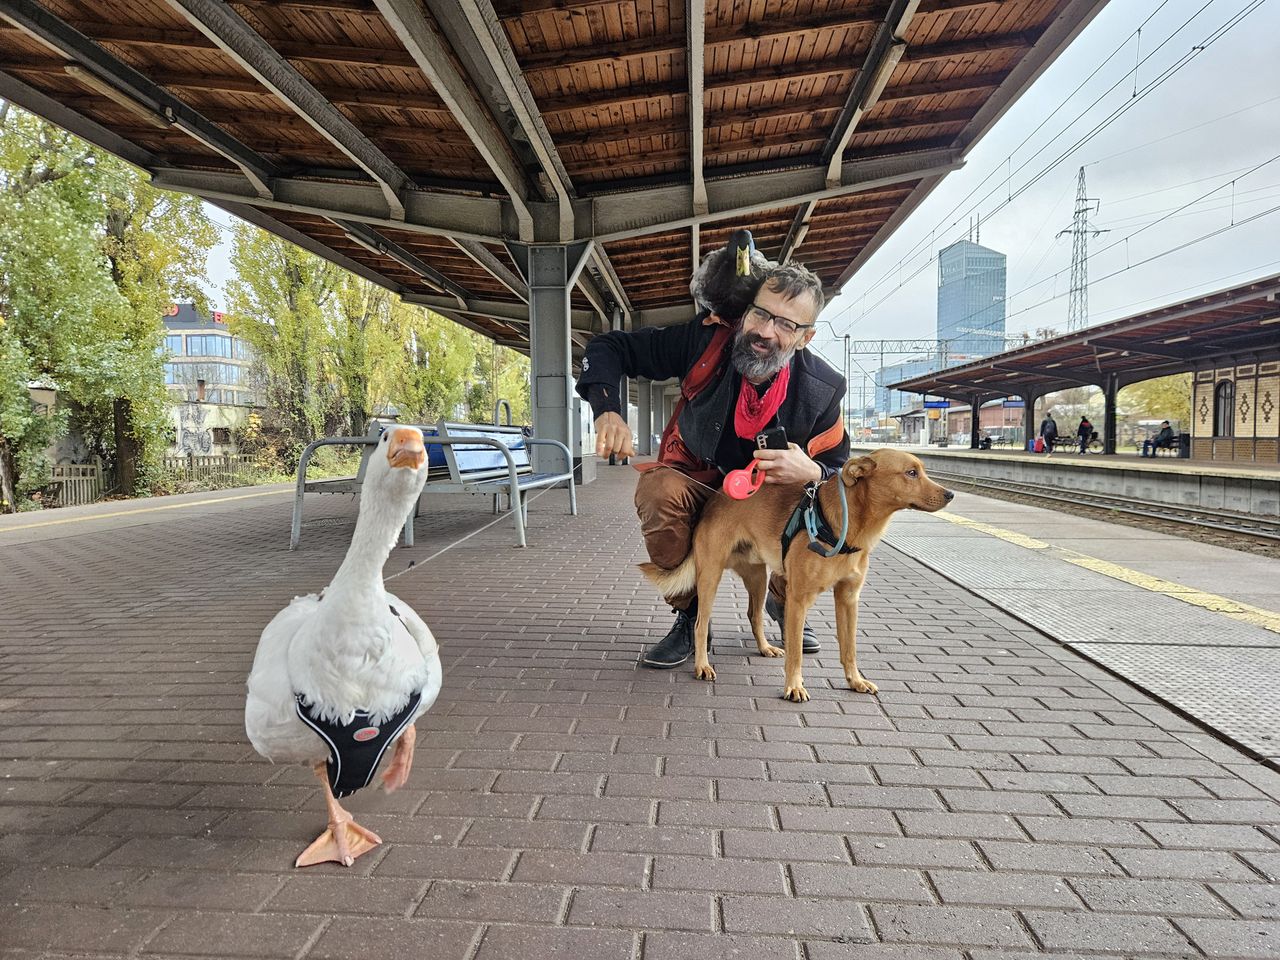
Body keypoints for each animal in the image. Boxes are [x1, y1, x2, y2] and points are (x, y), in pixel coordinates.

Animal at [640, 448, 952, 701]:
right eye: (911, 472)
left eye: (922, 470)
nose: (950, 495)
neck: (847, 527)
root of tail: (715, 500)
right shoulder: (799, 599)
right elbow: (796, 652)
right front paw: (794, 686)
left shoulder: (848, 598)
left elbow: (849, 647)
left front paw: (855, 680)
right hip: (710, 577)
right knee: (700, 623)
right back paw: (702, 665)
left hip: (758, 578)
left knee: (754, 616)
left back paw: (765, 648)